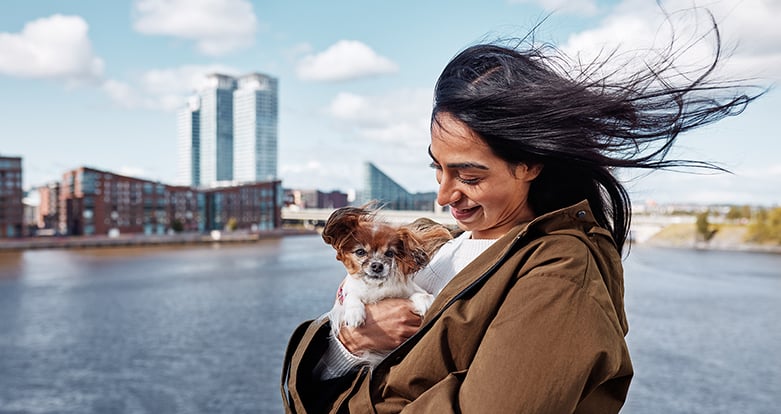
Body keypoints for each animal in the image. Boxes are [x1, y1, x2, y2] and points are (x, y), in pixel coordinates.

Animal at [318, 206, 450, 366]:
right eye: (360, 252)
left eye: (389, 253)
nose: (377, 265)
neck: (376, 286)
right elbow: (352, 296)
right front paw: (355, 312)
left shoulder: (410, 289)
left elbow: (420, 293)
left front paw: (425, 301)